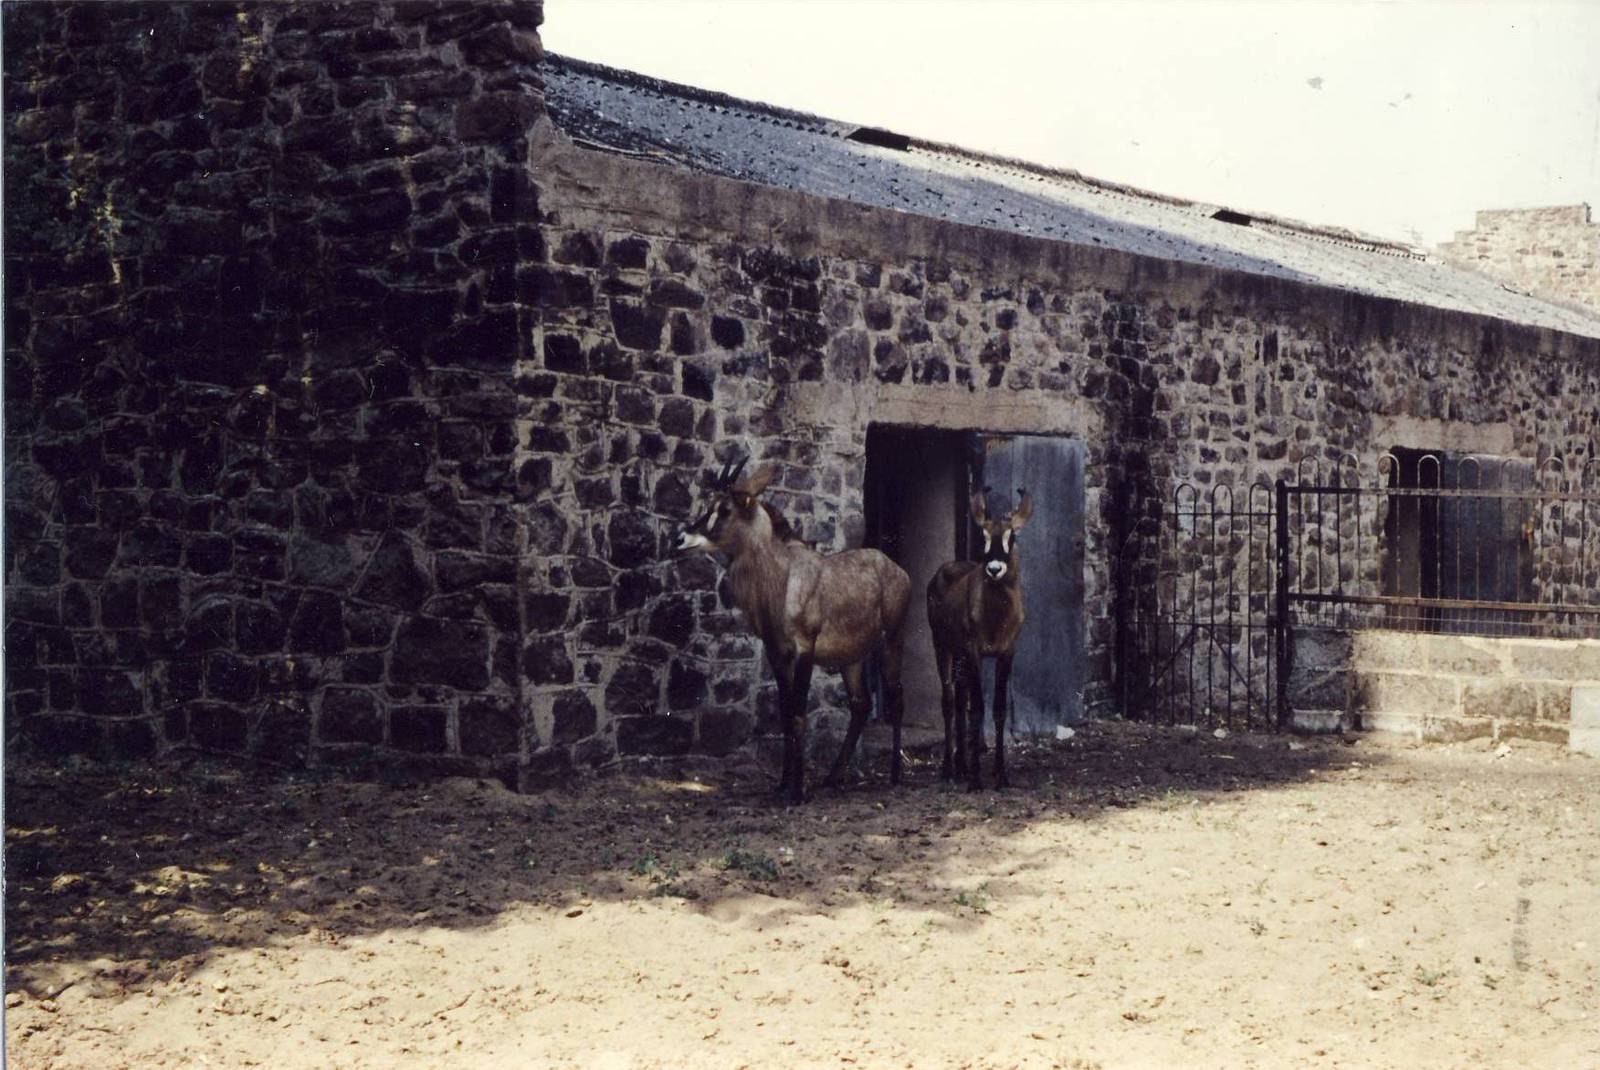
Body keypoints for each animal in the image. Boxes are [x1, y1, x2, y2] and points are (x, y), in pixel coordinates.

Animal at [674, 457, 912, 804]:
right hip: (851, 658)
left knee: (895, 696)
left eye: (726, 509)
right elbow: (786, 716)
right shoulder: (777, 653)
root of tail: (899, 571)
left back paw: (895, 774)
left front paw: (797, 792)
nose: (681, 539)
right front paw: (783, 786)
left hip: (891, 641)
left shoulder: (804, 651)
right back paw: (832, 777)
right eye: (709, 505)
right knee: (860, 704)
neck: (780, 579)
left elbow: (798, 715)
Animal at [927, 487, 1033, 790]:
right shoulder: (974, 651)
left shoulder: (1005, 652)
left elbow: (997, 709)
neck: (996, 614)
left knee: (960, 697)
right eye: (984, 536)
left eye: (1012, 535)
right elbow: (977, 709)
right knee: (949, 700)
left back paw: (961, 765)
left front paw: (1001, 775)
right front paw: (976, 778)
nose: (994, 569)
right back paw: (950, 769)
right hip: (942, 646)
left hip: (960, 655)